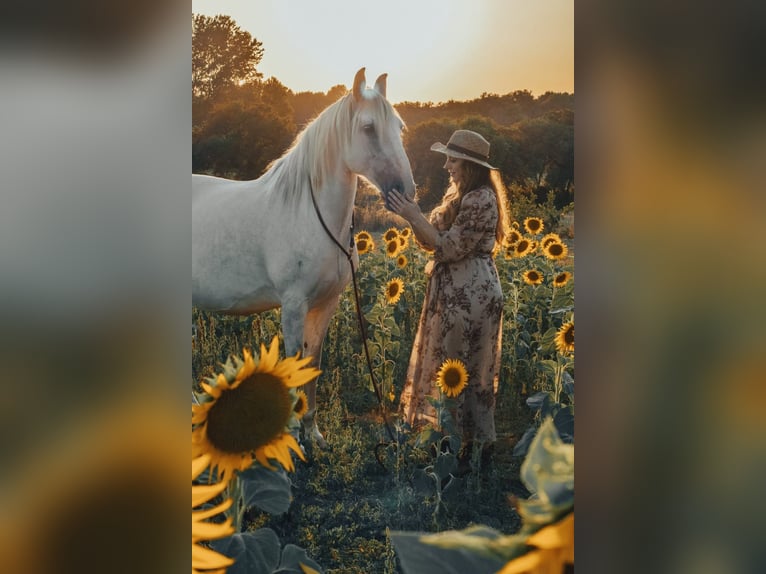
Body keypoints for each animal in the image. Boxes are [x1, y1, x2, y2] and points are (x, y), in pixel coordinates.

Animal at [195, 70, 416, 448]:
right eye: (369, 128)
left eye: (400, 127)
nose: (406, 191)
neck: (309, 214)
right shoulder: (294, 305)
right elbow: (294, 363)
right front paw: (295, 436)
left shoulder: (325, 304)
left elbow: (313, 363)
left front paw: (314, 433)